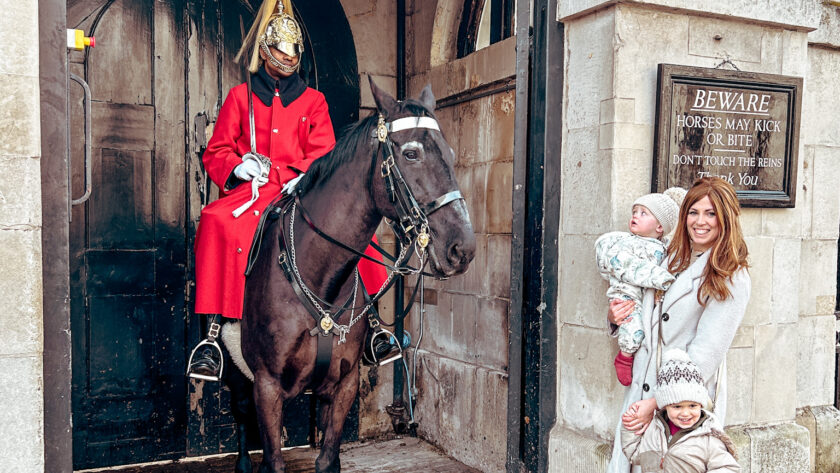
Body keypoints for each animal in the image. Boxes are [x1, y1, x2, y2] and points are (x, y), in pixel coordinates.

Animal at [220, 78, 476, 472]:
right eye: (411, 154)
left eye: (448, 152)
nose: (462, 248)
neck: (319, 276)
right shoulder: (267, 385)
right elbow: (273, 459)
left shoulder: (344, 385)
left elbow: (328, 458)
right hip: (238, 376)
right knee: (242, 415)